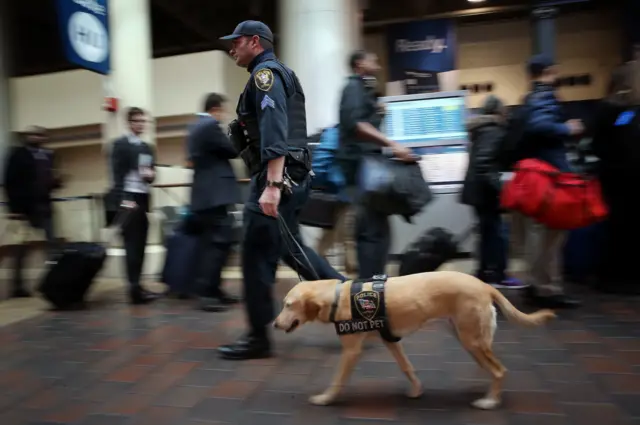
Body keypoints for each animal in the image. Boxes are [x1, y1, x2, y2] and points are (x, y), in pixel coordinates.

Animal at [274, 270, 556, 410]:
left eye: (288, 305)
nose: (275, 325)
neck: (336, 296)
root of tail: (484, 285)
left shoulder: (352, 351)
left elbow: (337, 380)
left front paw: (325, 399)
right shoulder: (391, 340)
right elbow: (407, 367)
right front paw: (417, 390)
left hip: (471, 340)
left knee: (499, 370)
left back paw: (490, 401)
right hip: (467, 338)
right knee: (492, 367)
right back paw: (487, 390)